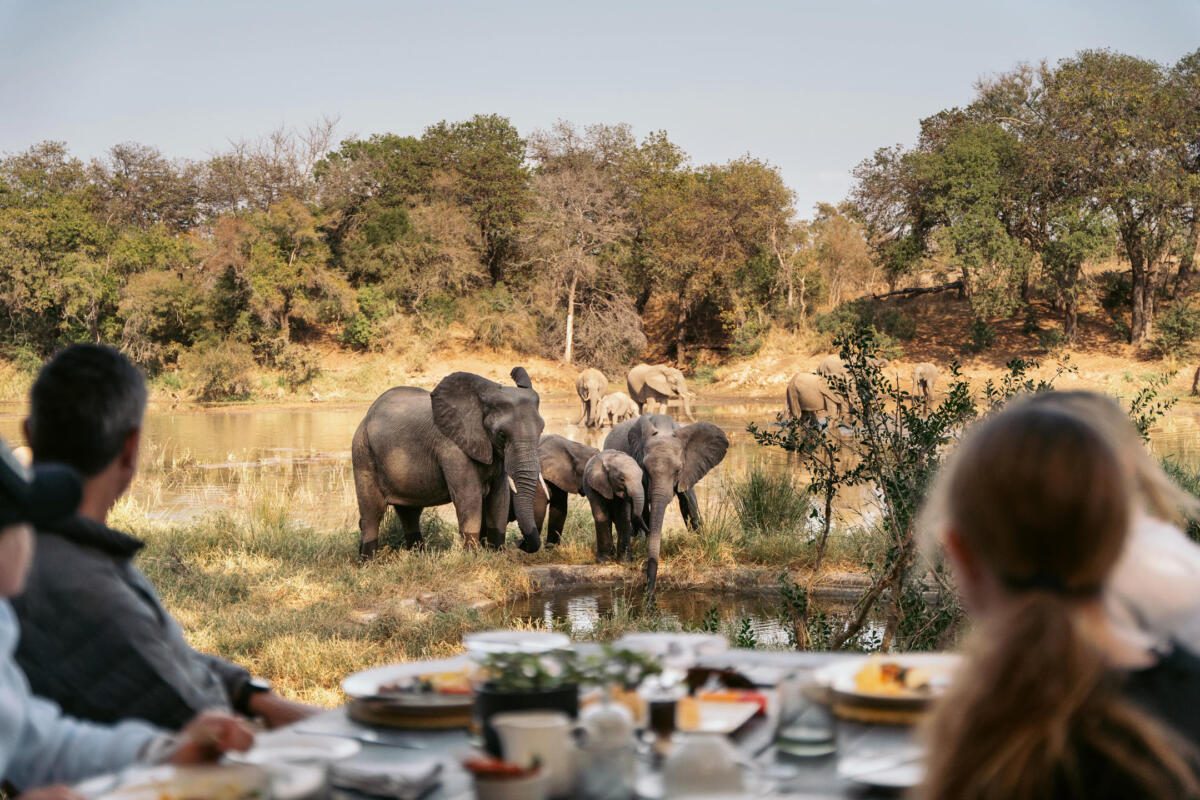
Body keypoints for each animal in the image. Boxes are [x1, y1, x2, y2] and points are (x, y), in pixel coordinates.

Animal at [351, 367, 545, 560]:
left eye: (541, 430)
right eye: (502, 435)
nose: (521, 543)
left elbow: (499, 496)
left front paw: (498, 555)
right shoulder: (452, 448)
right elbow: (469, 496)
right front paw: (472, 557)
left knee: (410, 512)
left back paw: (418, 557)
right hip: (362, 452)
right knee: (373, 513)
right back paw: (369, 562)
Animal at [605, 414, 729, 594]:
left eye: (678, 470)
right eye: (645, 469)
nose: (648, 591)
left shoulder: (690, 468)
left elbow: (688, 501)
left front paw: (700, 540)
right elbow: (644, 506)